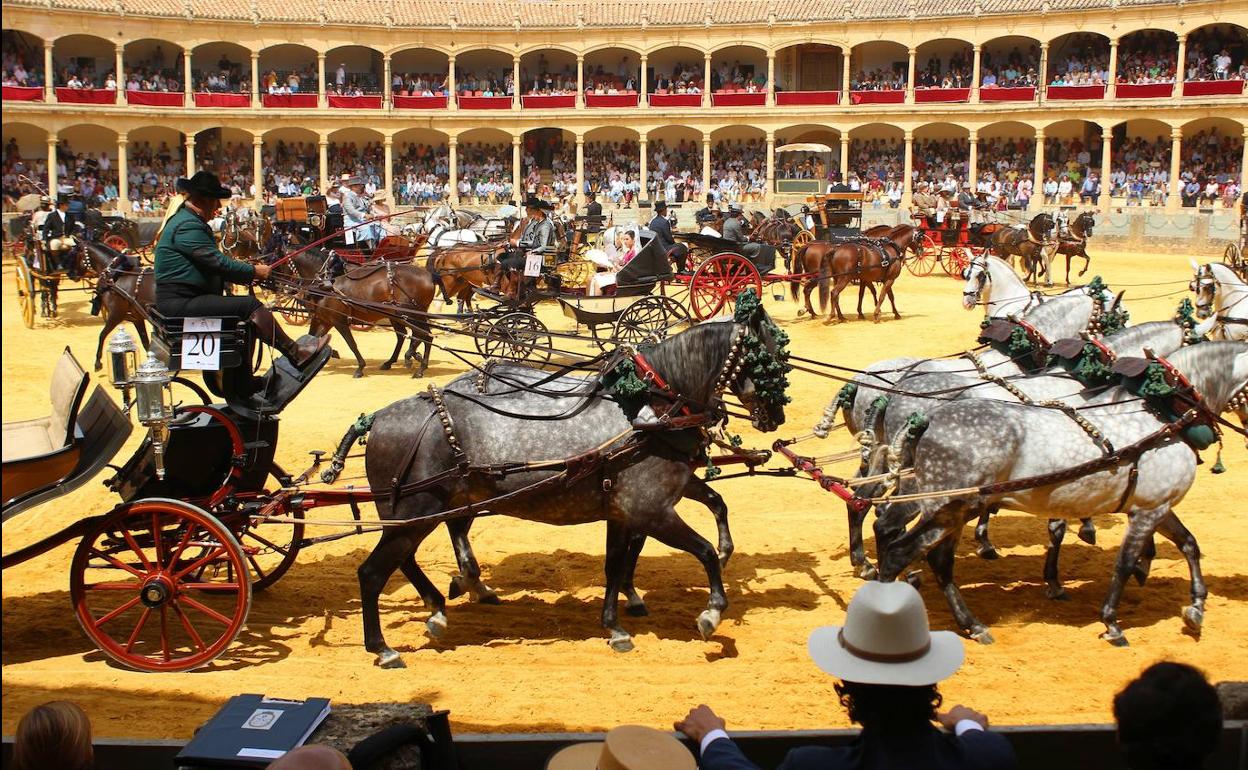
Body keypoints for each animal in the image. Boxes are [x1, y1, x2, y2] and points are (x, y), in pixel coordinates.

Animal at [82, 242, 155, 371]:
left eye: (75, 253)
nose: (70, 273)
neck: (116, 277)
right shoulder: (137, 318)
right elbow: (145, 341)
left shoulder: (116, 315)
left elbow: (102, 334)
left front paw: (97, 362)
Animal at [278, 248, 439, 376]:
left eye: (281, 263)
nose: (281, 287)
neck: (325, 285)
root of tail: (429, 276)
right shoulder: (323, 320)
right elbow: (313, 338)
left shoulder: (339, 321)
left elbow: (351, 343)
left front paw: (360, 367)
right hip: (401, 315)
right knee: (411, 335)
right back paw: (397, 361)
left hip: (412, 314)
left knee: (424, 335)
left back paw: (419, 366)